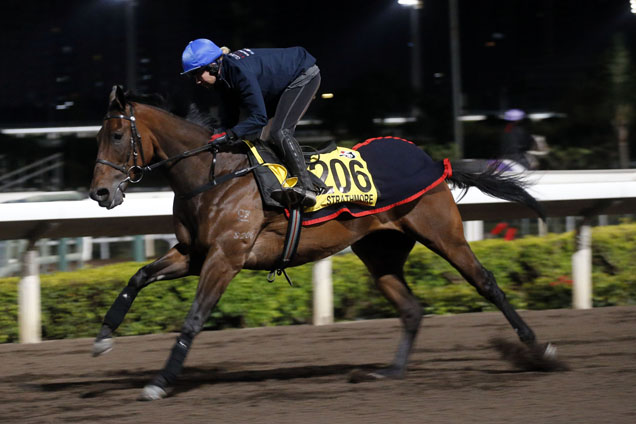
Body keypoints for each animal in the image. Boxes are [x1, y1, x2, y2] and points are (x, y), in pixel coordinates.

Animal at [88, 85, 556, 400]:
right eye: (97, 137)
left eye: (117, 136)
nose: (100, 193)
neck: (212, 176)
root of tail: (432, 161)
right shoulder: (195, 254)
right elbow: (138, 276)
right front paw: (104, 337)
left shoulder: (225, 257)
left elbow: (194, 318)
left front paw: (160, 382)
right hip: (380, 252)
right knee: (411, 309)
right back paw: (388, 373)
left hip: (442, 233)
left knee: (486, 283)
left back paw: (541, 350)